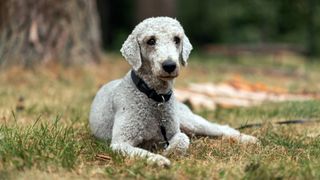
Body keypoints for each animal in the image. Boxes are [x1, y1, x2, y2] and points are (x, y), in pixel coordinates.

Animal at [89, 16, 258, 166]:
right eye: (151, 41)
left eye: (177, 39)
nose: (169, 65)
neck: (155, 96)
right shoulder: (120, 142)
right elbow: (143, 151)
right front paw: (159, 159)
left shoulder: (172, 131)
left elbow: (182, 139)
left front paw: (167, 151)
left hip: (189, 120)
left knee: (220, 128)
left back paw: (247, 139)